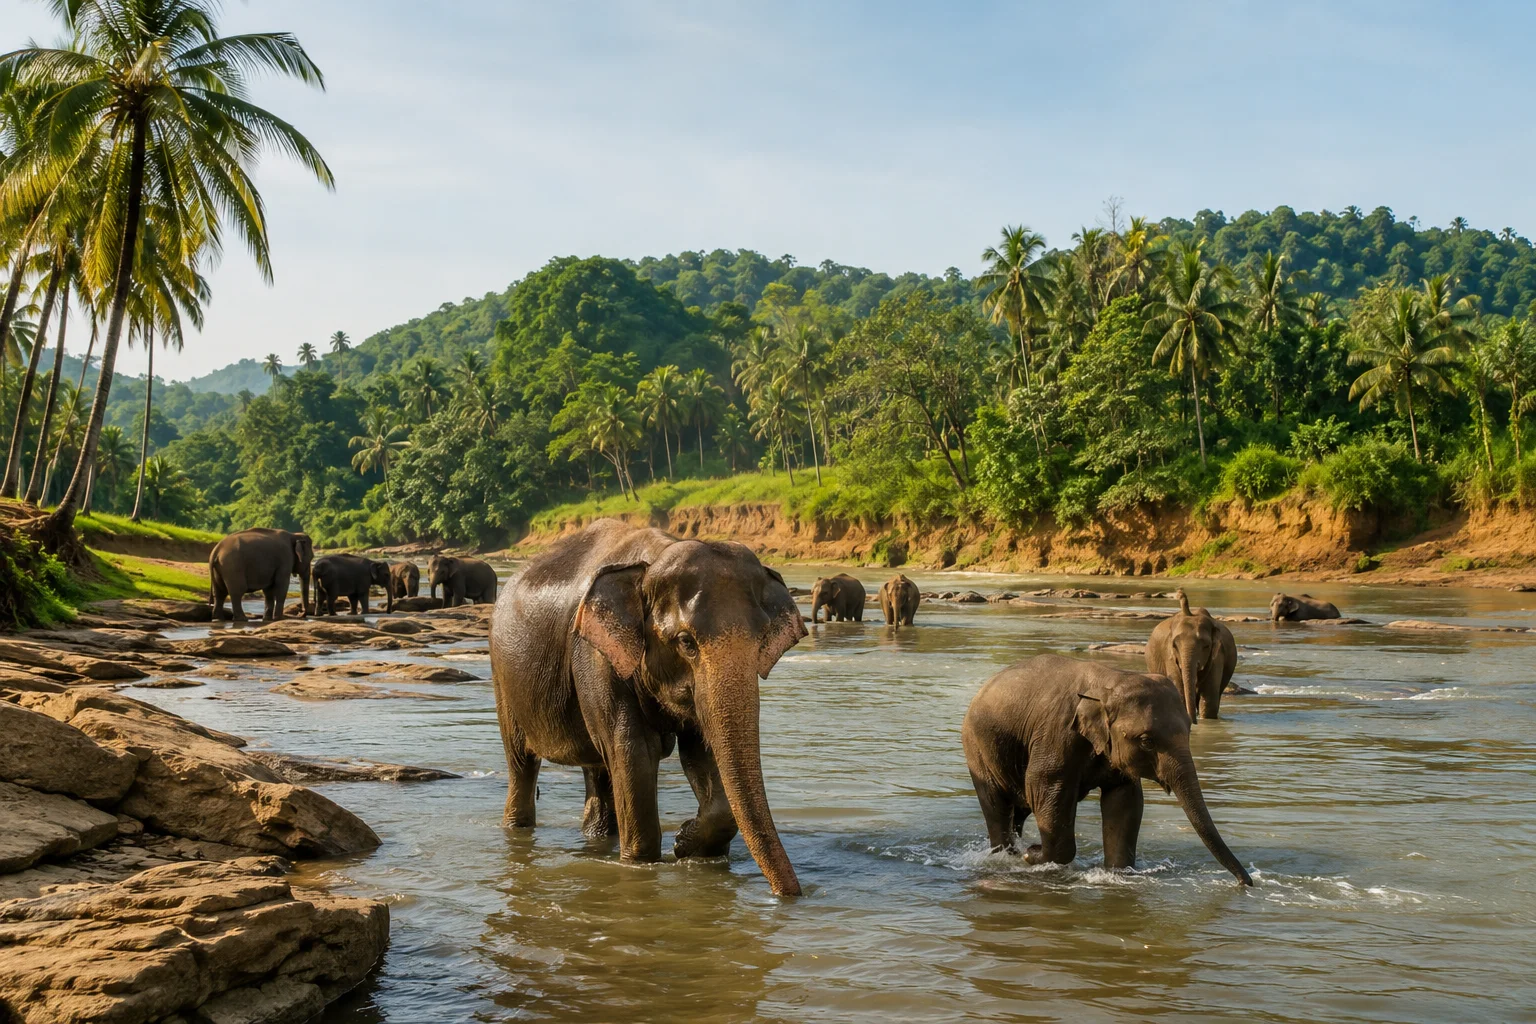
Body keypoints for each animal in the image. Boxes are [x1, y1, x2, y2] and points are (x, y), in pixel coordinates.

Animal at [489, 518, 807, 896]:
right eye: (686, 642)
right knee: (522, 763)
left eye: (760, 641)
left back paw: (597, 837)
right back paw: (518, 828)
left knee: (598, 770)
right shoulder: (596, 657)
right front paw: (643, 863)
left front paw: (688, 845)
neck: (652, 562)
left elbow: (701, 754)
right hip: (503, 678)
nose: (791, 895)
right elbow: (635, 752)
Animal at [961, 654, 1252, 885]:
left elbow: (1125, 802)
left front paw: (1117, 872)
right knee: (997, 806)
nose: (1245, 882)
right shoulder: (1056, 735)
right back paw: (1007, 854)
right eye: (1147, 741)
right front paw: (1033, 855)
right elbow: (1046, 790)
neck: (1110, 681)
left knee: (1018, 810)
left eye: (1189, 732)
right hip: (976, 748)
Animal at [1147, 589, 1237, 721]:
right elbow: (1179, 692)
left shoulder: (1218, 655)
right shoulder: (1169, 657)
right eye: (1174, 645)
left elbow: (1209, 700)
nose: (1193, 722)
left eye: (1206, 646)